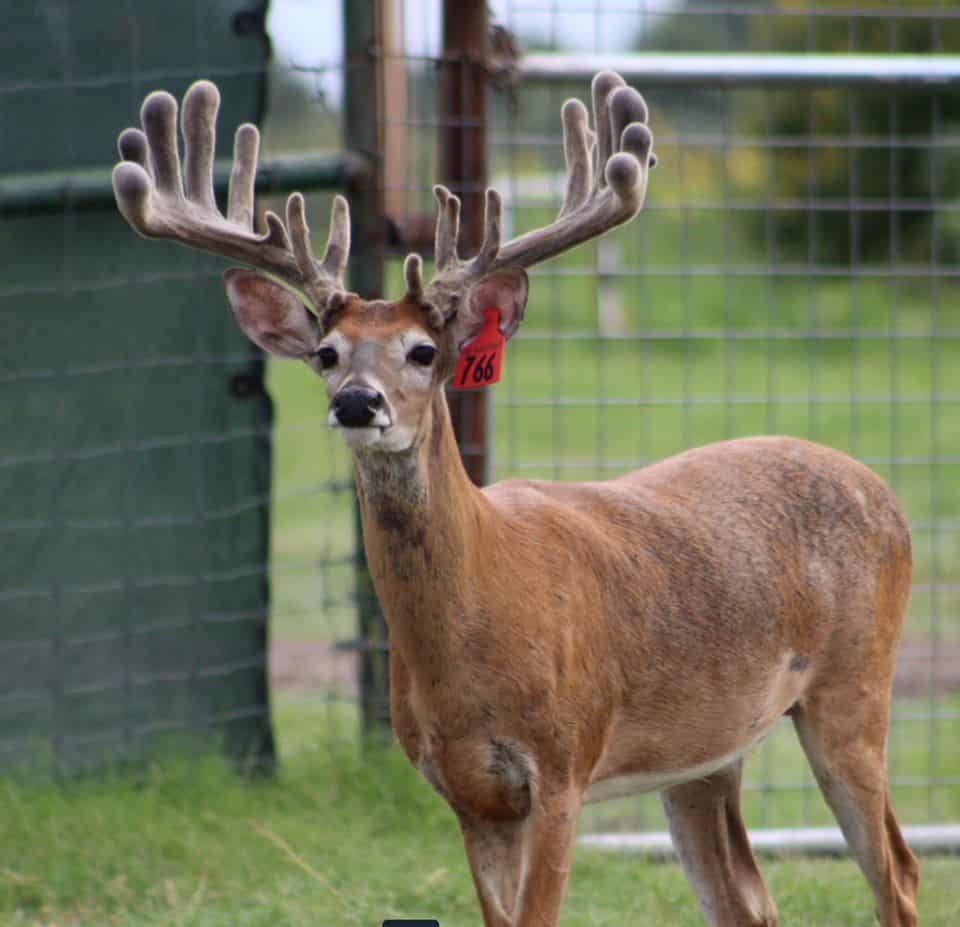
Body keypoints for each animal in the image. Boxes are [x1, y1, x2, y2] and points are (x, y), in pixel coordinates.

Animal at [111, 71, 918, 927]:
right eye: (326, 354)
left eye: (423, 351)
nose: (358, 402)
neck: (476, 618)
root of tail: (883, 489)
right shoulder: (466, 793)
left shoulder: (563, 763)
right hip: (705, 752)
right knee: (749, 898)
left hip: (854, 685)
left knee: (897, 871)